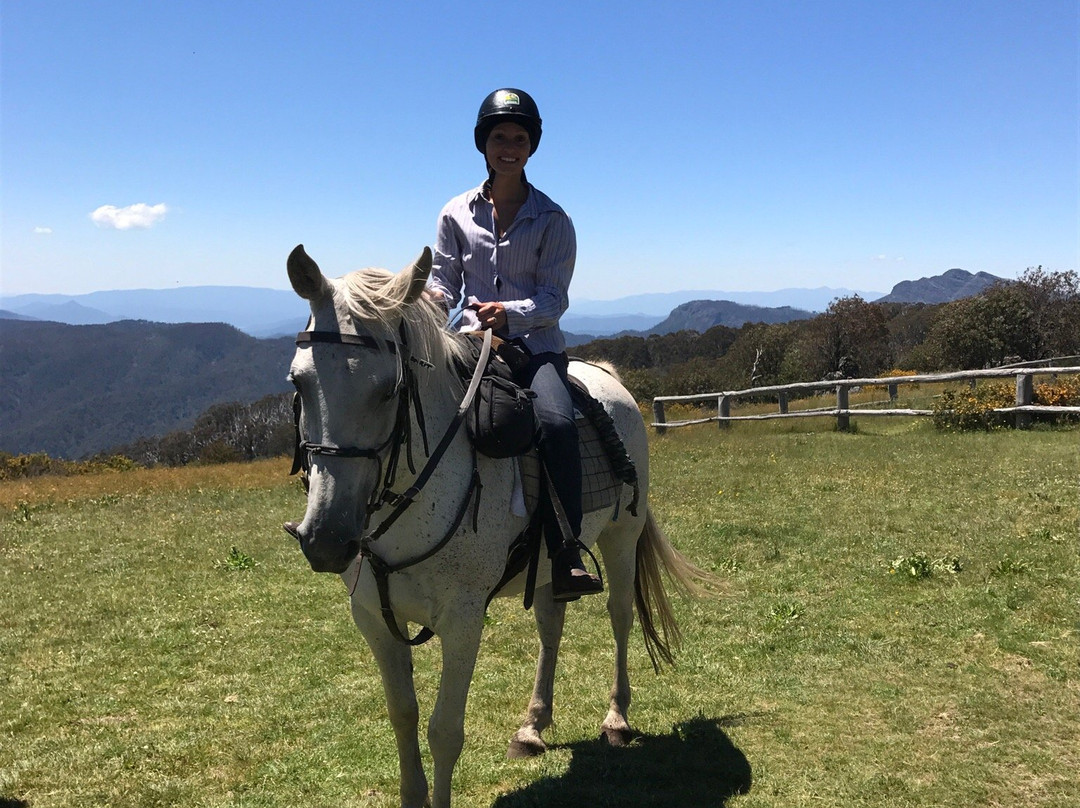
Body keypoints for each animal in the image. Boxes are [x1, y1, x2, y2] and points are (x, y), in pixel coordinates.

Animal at [284, 244, 710, 808]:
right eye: (299, 382)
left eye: (388, 389)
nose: (327, 540)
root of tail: (608, 377)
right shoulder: (373, 620)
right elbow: (402, 717)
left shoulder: (463, 621)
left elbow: (444, 732)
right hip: (553, 562)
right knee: (551, 625)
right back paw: (533, 726)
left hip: (622, 538)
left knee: (620, 616)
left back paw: (616, 718)